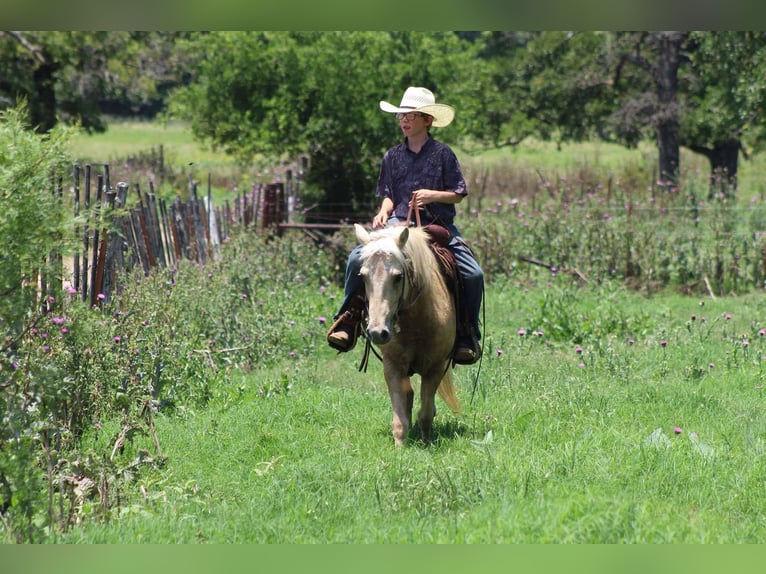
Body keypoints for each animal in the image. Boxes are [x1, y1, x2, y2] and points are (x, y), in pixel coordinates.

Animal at [354, 223, 460, 446]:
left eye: (398, 277)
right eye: (363, 276)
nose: (378, 332)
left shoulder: (435, 367)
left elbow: (426, 413)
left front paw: (425, 442)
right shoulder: (392, 366)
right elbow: (400, 417)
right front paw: (400, 446)